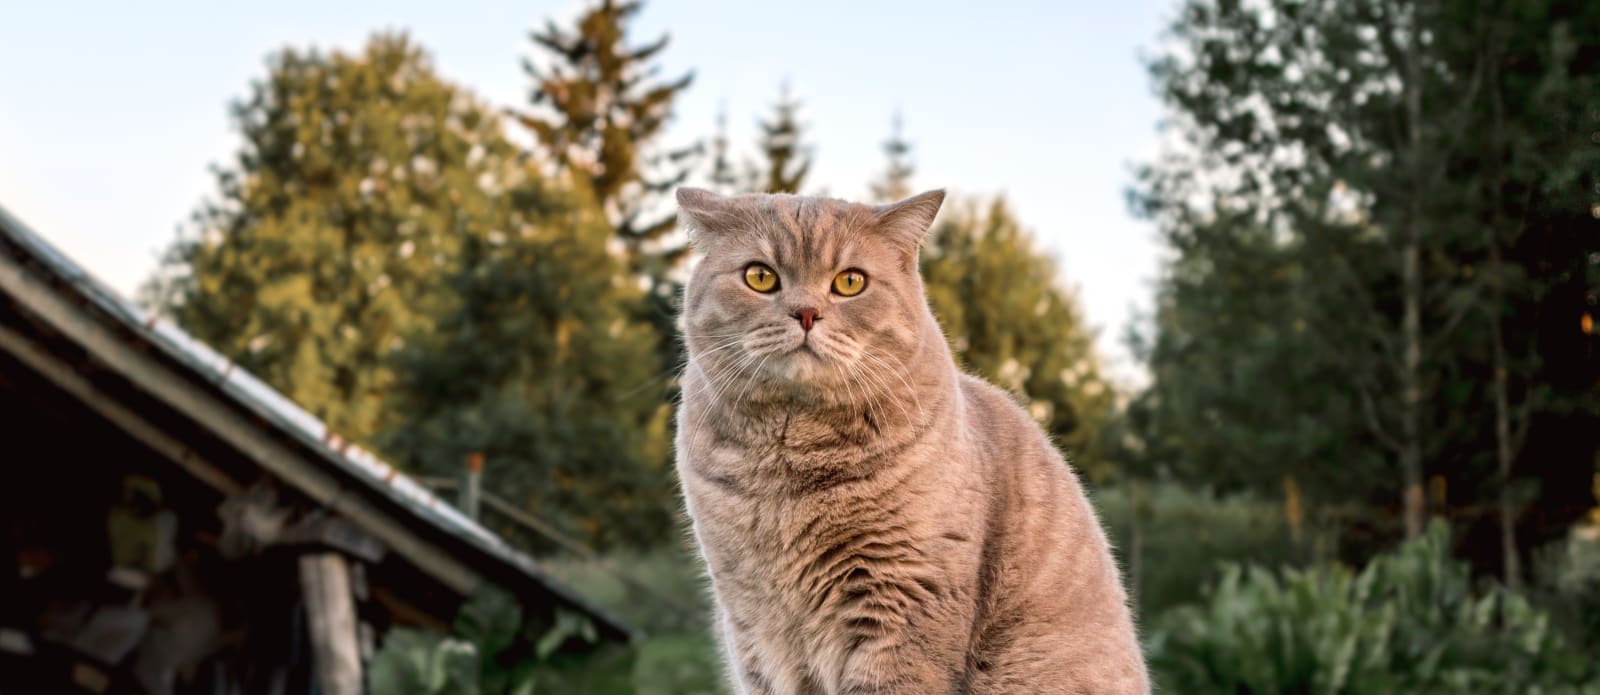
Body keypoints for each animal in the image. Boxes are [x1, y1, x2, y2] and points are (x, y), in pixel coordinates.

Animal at [675, 185, 1152, 695]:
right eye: (760, 277)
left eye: (850, 282)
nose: (806, 313)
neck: (789, 463)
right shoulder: (753, 627)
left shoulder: (901, 607)